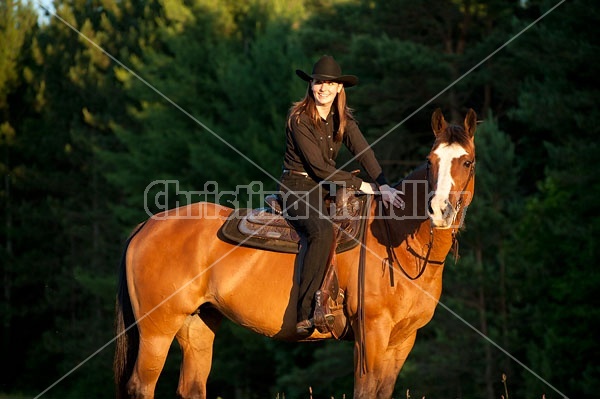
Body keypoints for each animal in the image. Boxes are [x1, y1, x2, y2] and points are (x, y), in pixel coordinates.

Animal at [113, 108, 478, 398]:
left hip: (197, 324)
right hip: (157, 330)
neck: (396, 239)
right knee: (141, 387)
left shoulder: (402, 341)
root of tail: (146, 226)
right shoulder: (370, 337)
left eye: (467, 161)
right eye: (430, 162)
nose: (440, 210)